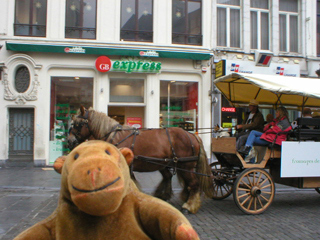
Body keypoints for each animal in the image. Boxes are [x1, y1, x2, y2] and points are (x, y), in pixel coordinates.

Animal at [66, 106, 214, 213]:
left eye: (78, 124)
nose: (69, 141)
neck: (113, 135)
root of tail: (192, 135)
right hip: (168, 164)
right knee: (171, 178)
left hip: (186, 166)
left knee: (193, 184)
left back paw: (188, 206)